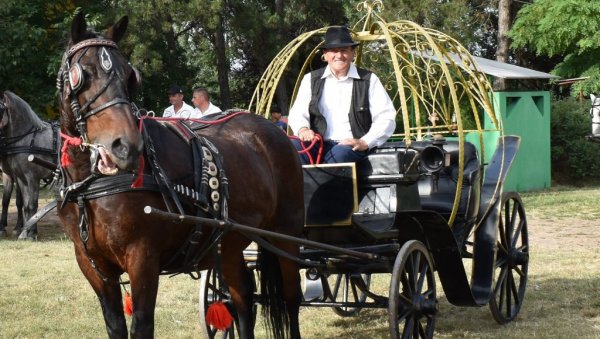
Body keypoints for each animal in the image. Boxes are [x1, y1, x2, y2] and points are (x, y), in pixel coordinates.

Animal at [0, 91, 57, 238]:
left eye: (0, 108)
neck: (27, 139)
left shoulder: (32, 178)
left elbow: (32, 204)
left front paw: (30, 233)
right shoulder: (20, 178)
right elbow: (25, 205)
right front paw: (25, 232)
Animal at [56, 11, 304, 338]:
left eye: (130, 76)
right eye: (81, 75)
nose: (125, 146)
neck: (93, 187)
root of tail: (276, 132)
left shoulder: (143, 258)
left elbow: (142, 325)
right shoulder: (91, 264)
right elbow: (115, 325)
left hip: (285, 234)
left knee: (290, 298)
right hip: (231, 242)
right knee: (242, 297)